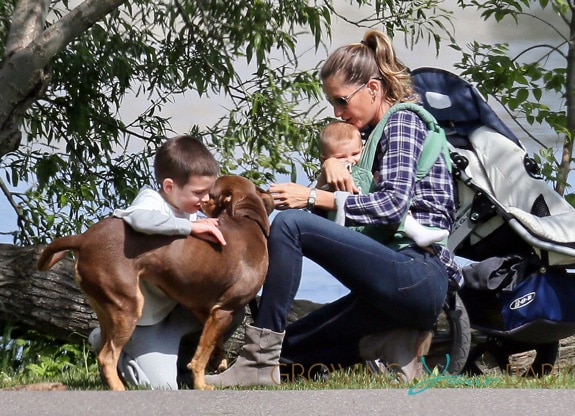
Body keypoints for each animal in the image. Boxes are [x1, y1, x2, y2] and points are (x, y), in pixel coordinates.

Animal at [37, 176, 276, 390]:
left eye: (208, 193)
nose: (201, 201)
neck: (248, 219)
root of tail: (83, 238)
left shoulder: (207, 309)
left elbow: (211, 344)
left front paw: (219, 360)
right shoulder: (224, 310)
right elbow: (200, 357)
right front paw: (202, 385)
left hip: (105, 308)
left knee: (103, 350)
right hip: (127, 305)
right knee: (107, 357)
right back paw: (120, 388)